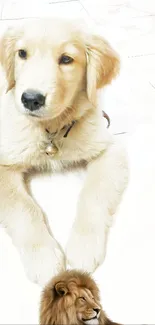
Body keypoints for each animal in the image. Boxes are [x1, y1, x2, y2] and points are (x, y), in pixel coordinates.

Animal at [0, 19, 128, 284]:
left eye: (67, 59)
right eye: (22, 53)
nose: (31, 99)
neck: (52, 129)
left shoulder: (109, 149)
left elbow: (93, 194)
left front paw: (84, 246)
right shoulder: (4, 160)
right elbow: (24, 208)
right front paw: (43, 257)